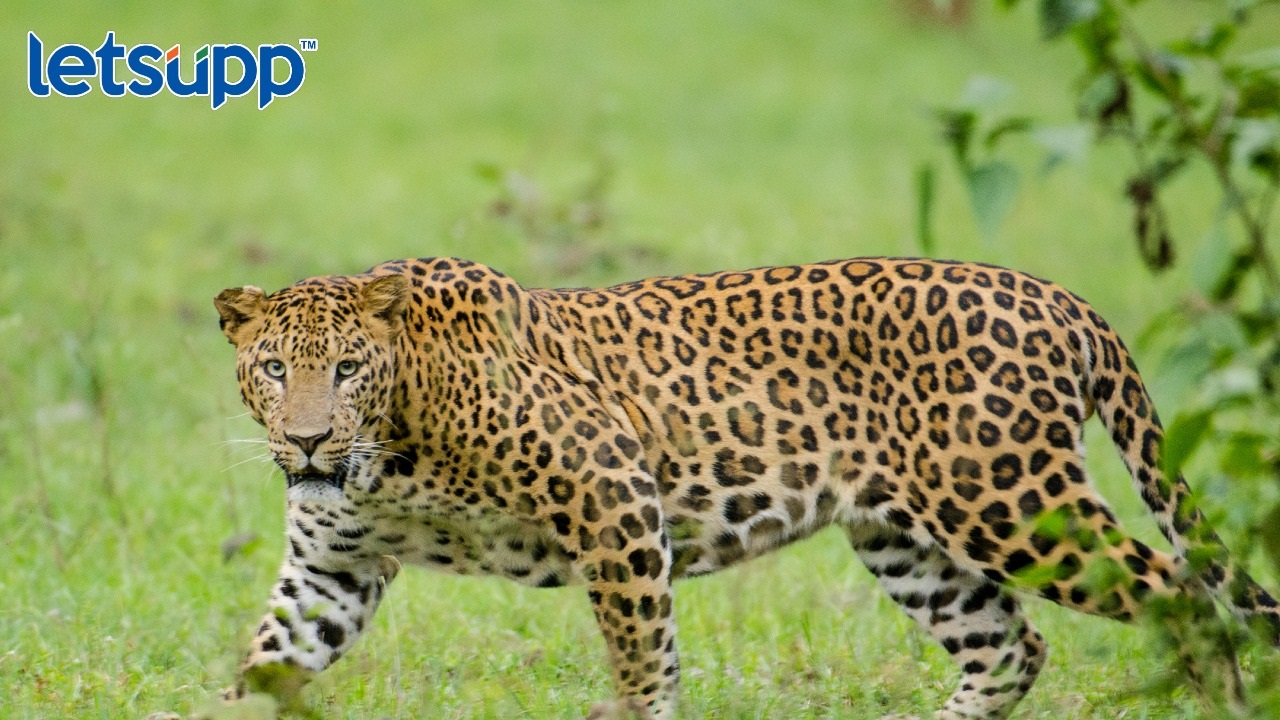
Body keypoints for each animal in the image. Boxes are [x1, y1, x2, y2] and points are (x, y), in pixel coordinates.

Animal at [213, 256, 1280, 719]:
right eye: (273, 368)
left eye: (347, 368)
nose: (307, 442)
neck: (390, 448)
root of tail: (1061, 297)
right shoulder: (332, 571)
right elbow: (267, 660)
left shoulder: (615, 498)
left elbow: (642, 660)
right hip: (907, 539)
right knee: (1011, 646)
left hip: (1010, 501)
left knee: (1184, 596)